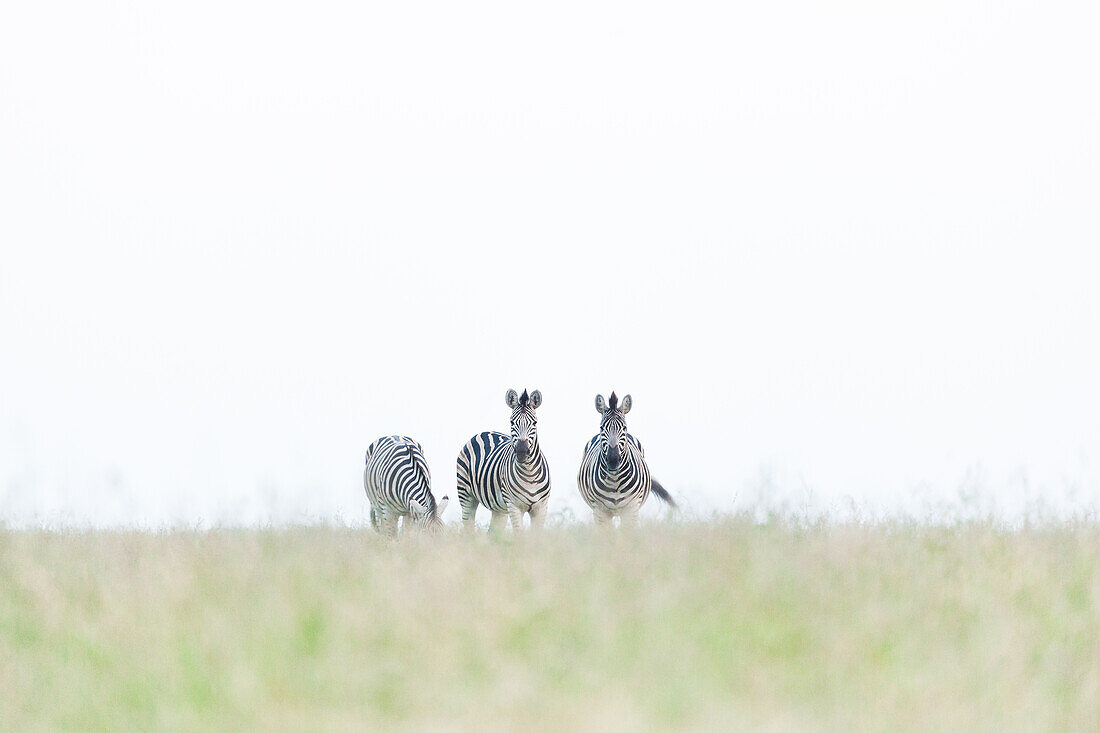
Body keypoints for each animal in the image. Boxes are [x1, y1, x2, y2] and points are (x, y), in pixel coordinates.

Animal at [455, 387, 550, 530]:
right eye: (511, 422)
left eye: (535, 422)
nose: (522, 451)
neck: (530, 475)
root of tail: (483, 432)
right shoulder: (514, 506)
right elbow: (519, 533)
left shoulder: (541, 508)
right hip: (466, 495)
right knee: (468, 528)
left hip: (499, 509)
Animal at [576, 391, 677, 521]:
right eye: (601, 428)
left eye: (624, 427)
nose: (613, 460)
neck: (614, 480)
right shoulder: (600, 511)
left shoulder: (631, 509)